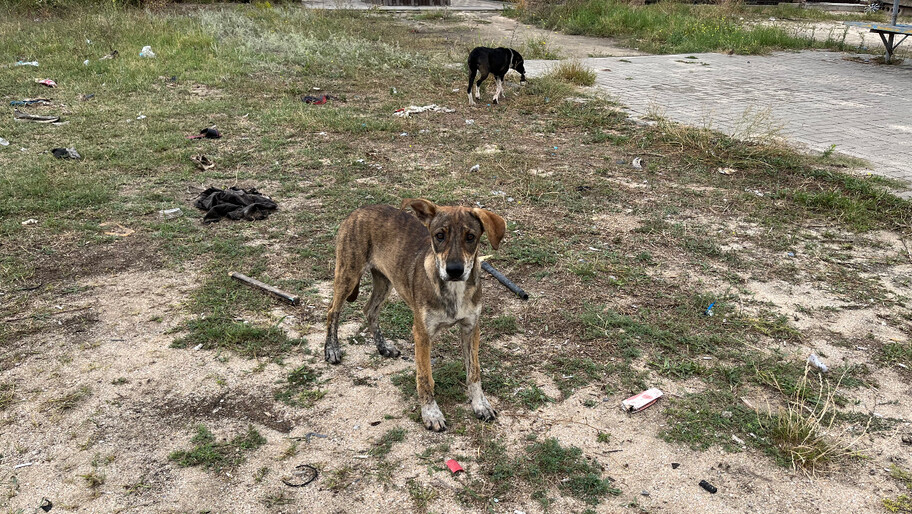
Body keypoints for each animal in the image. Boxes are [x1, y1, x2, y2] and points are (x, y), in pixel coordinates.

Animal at [324, 198, 506, 430]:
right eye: (439, 235)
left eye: (470, 237)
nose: (454, 270)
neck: (453, 290)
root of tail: (360, 209)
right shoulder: (422, 334)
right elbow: (425, 377)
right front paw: (431, 413)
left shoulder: (471, 328)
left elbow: (474, 372)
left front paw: (480, 404)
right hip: (348, 272)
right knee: (333, 310)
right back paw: (332, 349)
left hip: (384, 279)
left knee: (370, 310)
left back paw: (383, 347)